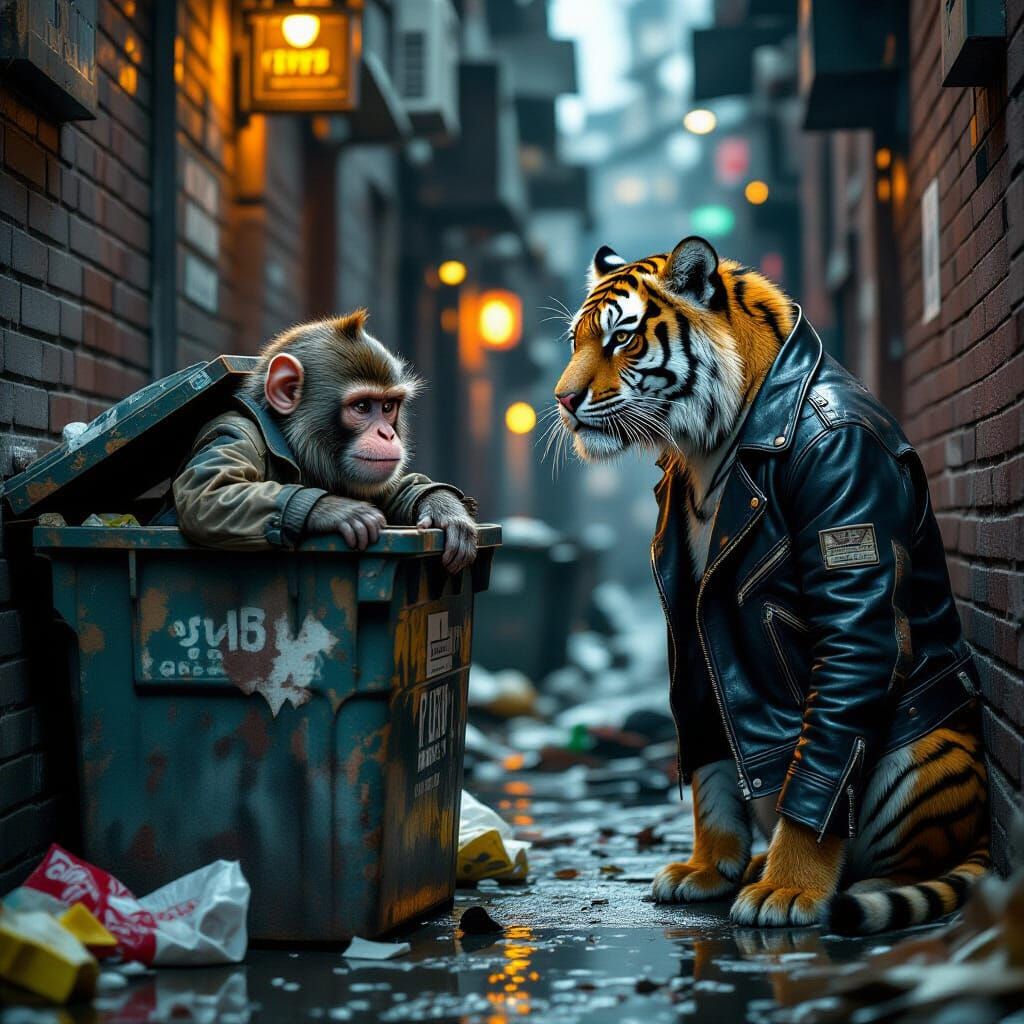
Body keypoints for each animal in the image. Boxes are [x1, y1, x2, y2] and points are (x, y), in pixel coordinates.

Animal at [172, 310, 478, 572]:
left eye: (388, 407)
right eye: (362, 406)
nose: (387, 433)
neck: (291, 444)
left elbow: (392, 488)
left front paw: (445, 508)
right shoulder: (235, 432)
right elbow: (206, 492)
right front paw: (337, 510)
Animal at [551, 236, 989, 934]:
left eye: (621, 338)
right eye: (575, 341)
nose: (563, 401)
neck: (706, 445)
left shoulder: (850, 580)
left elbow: (822, 764)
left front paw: (789, 887)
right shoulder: (692, 631)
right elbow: (710, 759)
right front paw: (708, 867)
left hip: (922, 757)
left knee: (900, 853)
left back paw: (844, 886)